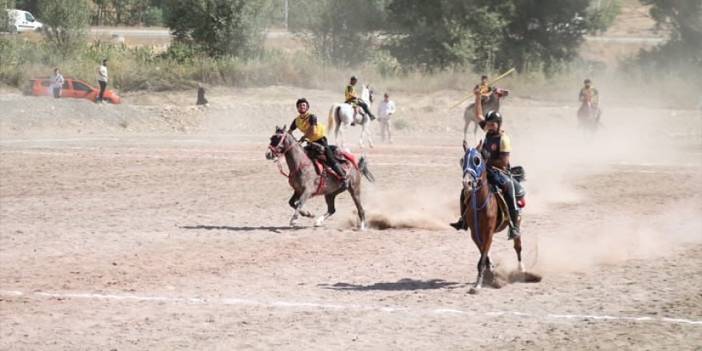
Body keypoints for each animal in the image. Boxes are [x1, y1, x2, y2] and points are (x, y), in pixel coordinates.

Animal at [462, 146, 528, 294]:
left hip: (517, 222)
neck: (481, 203)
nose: (467, 183)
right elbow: (484, 253)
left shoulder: (489, 232)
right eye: (462, 160)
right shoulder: (475, 233)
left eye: (477, 160)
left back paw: (522, 269)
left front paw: (478, 284)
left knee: (518, 246)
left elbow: (483, 256)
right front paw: (490, 271)